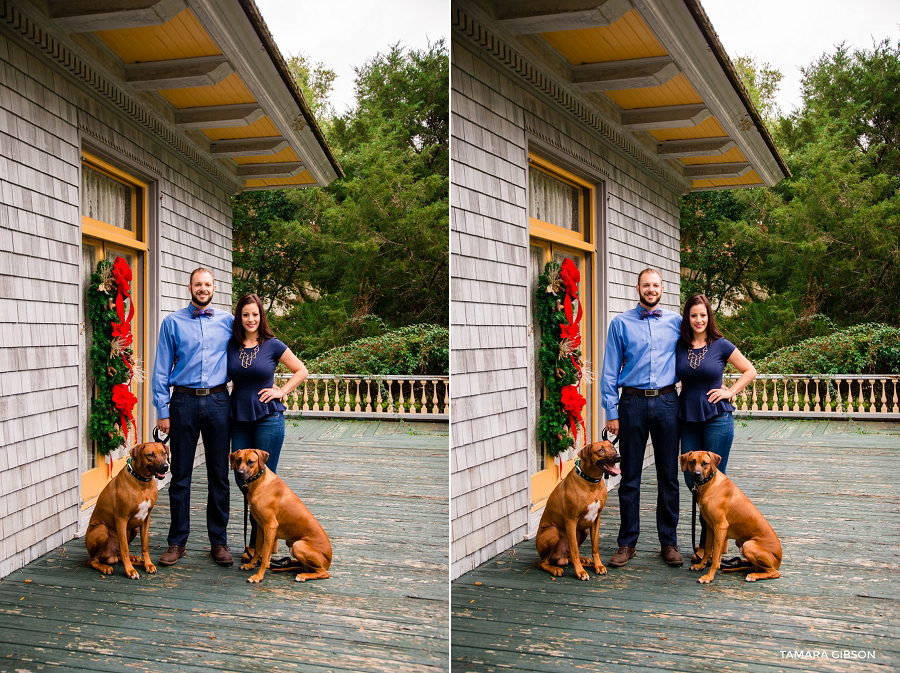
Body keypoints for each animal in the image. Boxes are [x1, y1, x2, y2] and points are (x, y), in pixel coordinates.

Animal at [85, 440, 170, 576]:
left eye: (164, 453)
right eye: (150, 455)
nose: (165, 467)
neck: (142, 482)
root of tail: (110, 556)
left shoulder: (146, 518)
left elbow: (145, 545)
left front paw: (148, 564)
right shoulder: (121, 519)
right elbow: (125, 548)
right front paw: (130, 570)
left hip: (133, 529)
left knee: (118, 554)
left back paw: (135, 559)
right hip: (102, 529)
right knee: (92, 560)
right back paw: (104, 567)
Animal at [230, 446, 332, 584]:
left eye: (251, 461)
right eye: (238, 459)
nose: (239, 473)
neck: (260, 481)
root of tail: (329, 560)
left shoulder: (271, 526)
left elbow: (265, 554)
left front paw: (258, 576)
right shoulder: (261, 526)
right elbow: (257, 550)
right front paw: (251, 565)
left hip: (298, 545)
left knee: (324, 572)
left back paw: (303, 575)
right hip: (292, 544)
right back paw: (292, 563)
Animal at [536, 436, 620, 576]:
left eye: (612, 447)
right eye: (601, 450)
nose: (618, 457)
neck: (591, 483)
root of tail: (560, 558)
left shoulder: (596, 518)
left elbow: (595, 546)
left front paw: (598, 565)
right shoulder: (570, 520)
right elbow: (574, 549)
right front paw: (580, 572)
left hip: (583, 530)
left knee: (568, 556)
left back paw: (585, 560)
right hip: (552, 531)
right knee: (543, 562)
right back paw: (555, 569)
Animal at [684, 452, 780, 584]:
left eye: (705, 463)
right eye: (692, 462)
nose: (696, 474)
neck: (710, 484)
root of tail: (779, 560)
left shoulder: (721, 526)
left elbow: (715, 557)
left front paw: (709, 577)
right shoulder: (710, 527)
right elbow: (708, 550)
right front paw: (700, 565)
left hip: (748, 545)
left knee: (774, 572)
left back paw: (753, 575)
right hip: (740, 543)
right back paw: (742, 562)